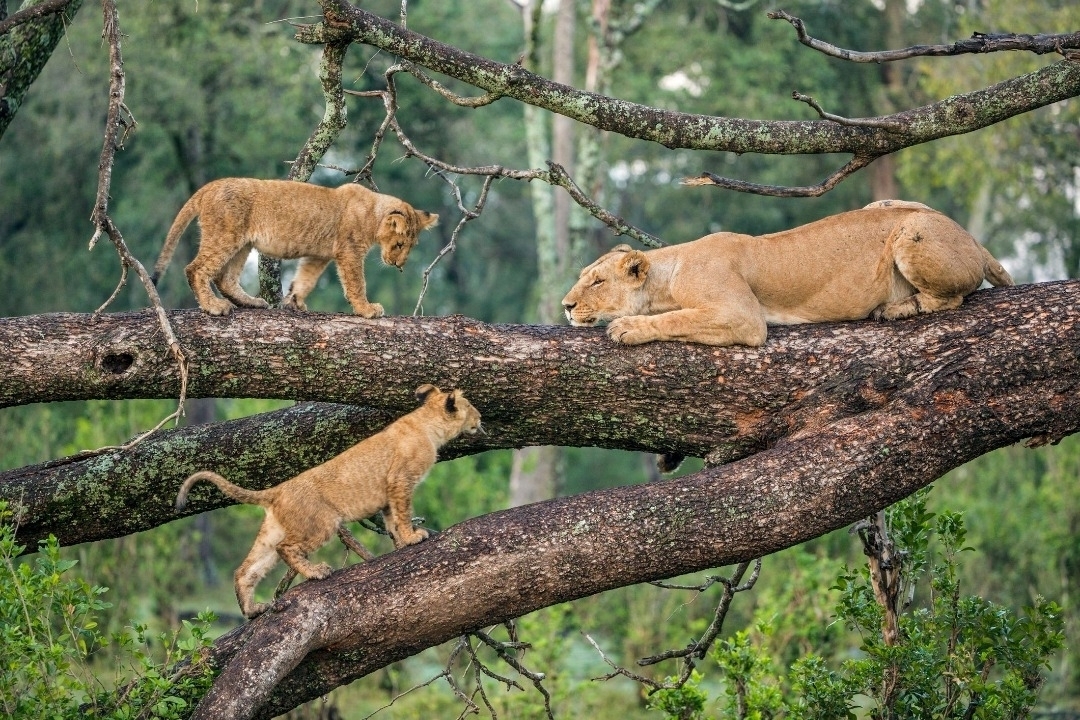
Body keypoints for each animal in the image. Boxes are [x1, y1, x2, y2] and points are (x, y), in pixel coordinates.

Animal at [152, 178, 439, 317]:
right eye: (399, 244)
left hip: (242, 243)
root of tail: (211, 186)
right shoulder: (349, 251)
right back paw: (214, 306)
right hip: (225, 235)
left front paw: (294, 302)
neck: (373, 213)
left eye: (411, 247)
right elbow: (357, 283)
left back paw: (252, 302)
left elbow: (305, 280)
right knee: (196, 269)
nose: (399, 266)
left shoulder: (319, 256)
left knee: (225, 278)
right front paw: (367, 310)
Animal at [174, 384, 481, 618]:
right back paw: (316, 572)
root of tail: (278, 489)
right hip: (322, 523)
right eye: (470, 406)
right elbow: (403, 514)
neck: (427, 423)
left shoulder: (387, 495)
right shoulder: (400, 481)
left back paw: (253, 610)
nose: (481, 418)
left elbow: (392, 520)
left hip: (272, 532)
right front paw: (413, 537)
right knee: (287, 549)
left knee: (245, 570)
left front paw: (401, 542)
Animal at [562, 201, 1013, 347]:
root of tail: (972, 239)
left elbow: (677, 318)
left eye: (598, 281)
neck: (669, 272)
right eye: (584, 275)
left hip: (911, 231)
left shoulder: (743, 316)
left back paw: (896, 308)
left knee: (951, 297)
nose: (565, 305)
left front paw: (627, 326)